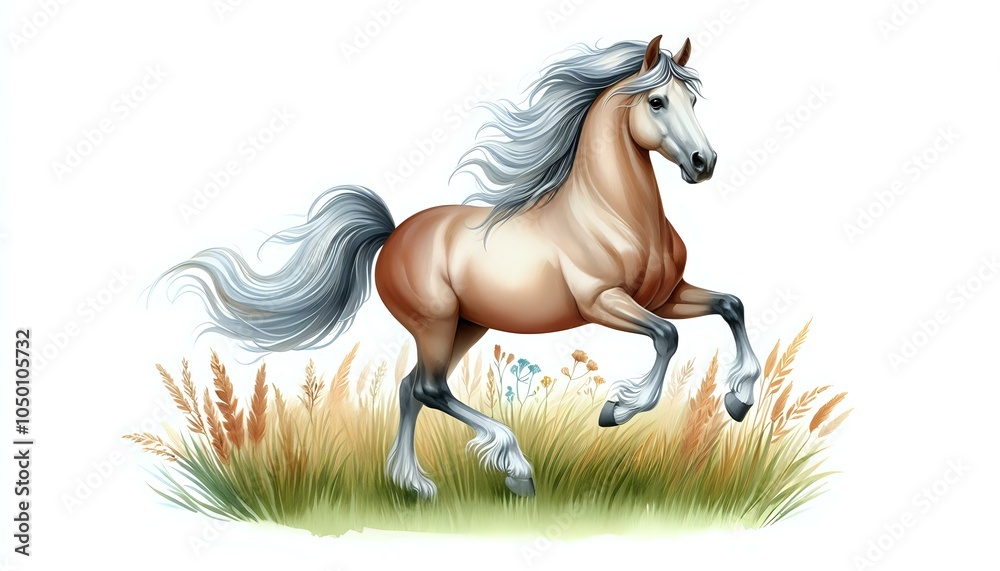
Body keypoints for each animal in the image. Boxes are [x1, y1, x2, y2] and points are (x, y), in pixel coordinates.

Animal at [154, 35, 762, 500]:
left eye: (692, 99)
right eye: (657, 101)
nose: (704, 163)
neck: (613, 214)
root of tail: (393, 234)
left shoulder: (667, 294)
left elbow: (730, 306)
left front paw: (739, 399)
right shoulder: (603, 303)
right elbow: (666, 339)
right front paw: (618, 408)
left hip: (467, 326)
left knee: (410, 388)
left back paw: (414, 485)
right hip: (437, 322)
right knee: (428, 388)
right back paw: (515, 470)